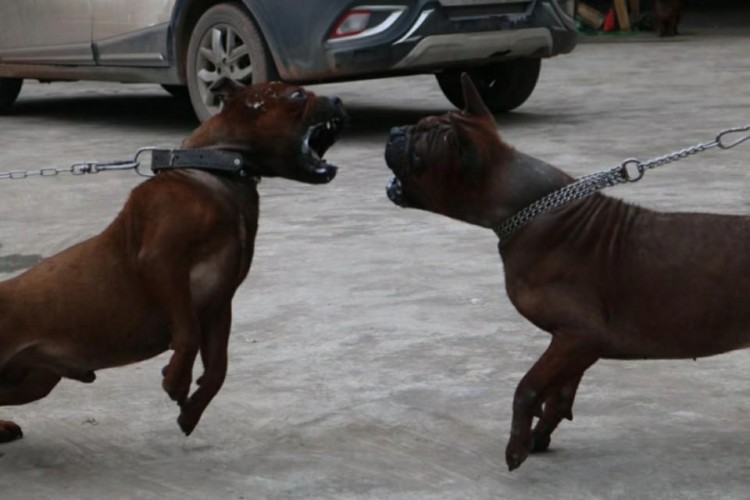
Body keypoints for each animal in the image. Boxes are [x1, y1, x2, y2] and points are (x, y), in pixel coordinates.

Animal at [0, 80, 346, 444]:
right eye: (296, 95)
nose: (338, 99)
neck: (216, 171)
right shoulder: (163, 262)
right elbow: (188, 332)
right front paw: (177, 378)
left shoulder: (219, 303)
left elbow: (219, 367)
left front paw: (192, 409)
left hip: (34, 382)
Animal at [388, 72, 750, 470]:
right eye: (416, 126)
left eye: (419, 154)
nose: (395, 132)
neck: (527, 207)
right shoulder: (573, 343)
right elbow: (558, 395)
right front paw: (538, 436)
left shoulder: (578, 336)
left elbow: (527, 388)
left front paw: (516, 446)